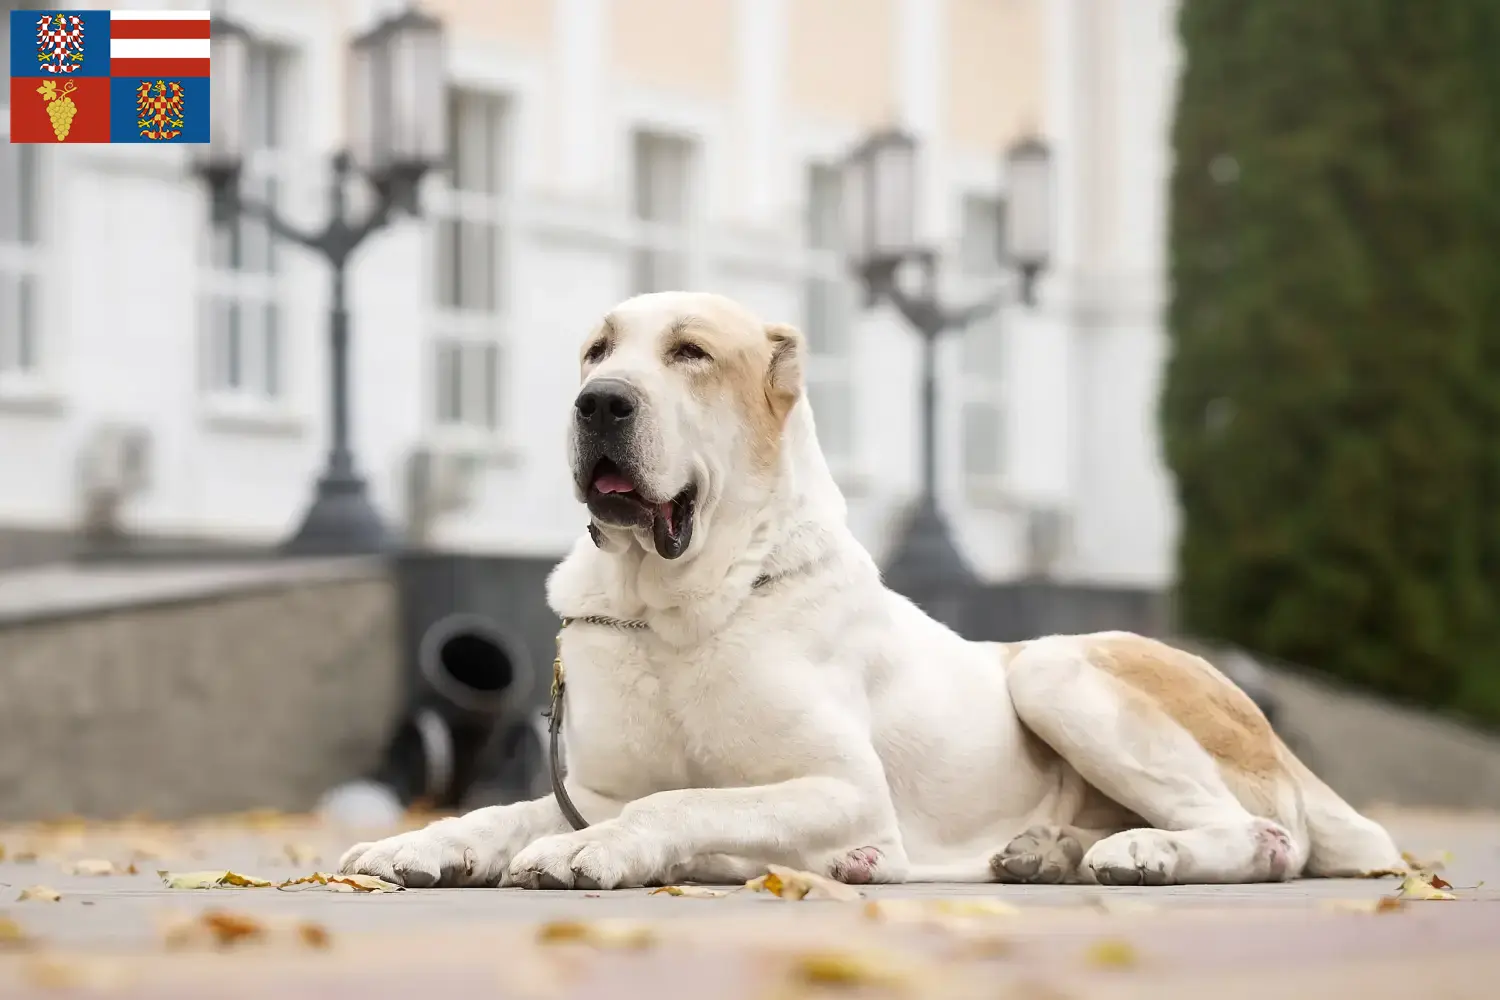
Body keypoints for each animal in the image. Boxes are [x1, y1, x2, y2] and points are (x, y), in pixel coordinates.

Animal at [343, 290, 1404, 893]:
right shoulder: (591, 788)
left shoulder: (843, 788)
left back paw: (1143, 855)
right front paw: (425, 844)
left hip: (1059, 669)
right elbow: (510, 812)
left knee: (1264, 833)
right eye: (598, 350)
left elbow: (685, 802)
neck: (676, 603)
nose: (599, 402)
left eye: (689, 353)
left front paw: (591, 854)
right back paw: (1045, 851)